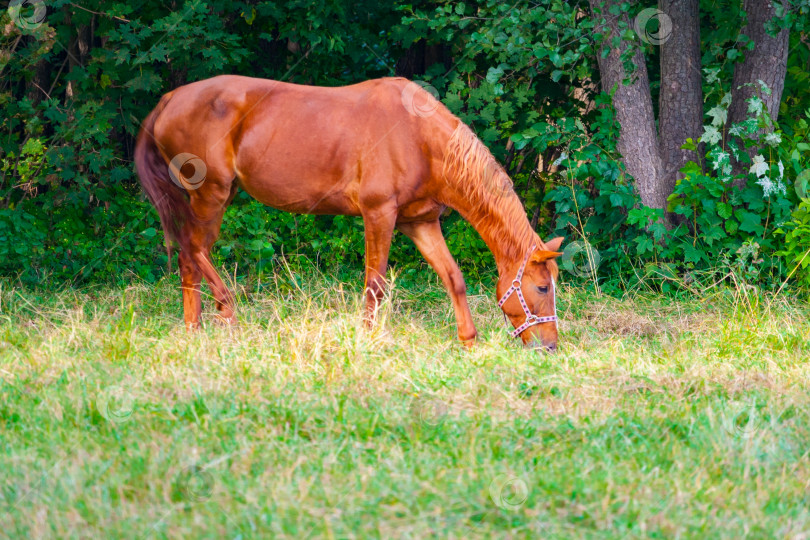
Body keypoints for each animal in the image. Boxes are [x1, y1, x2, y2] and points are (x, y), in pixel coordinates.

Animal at [134, 74, 560, 348]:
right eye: (542, 287)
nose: (550, 346)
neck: (418, 137)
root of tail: (170, 98)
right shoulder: (379, 215)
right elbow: (375, 284)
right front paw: (368, 340)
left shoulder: (420, 222)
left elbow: (453, 277)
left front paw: (468, 341)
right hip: (211, 194)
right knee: (193, 249)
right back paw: (225, 308)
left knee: (189, 257)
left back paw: (193, 330)